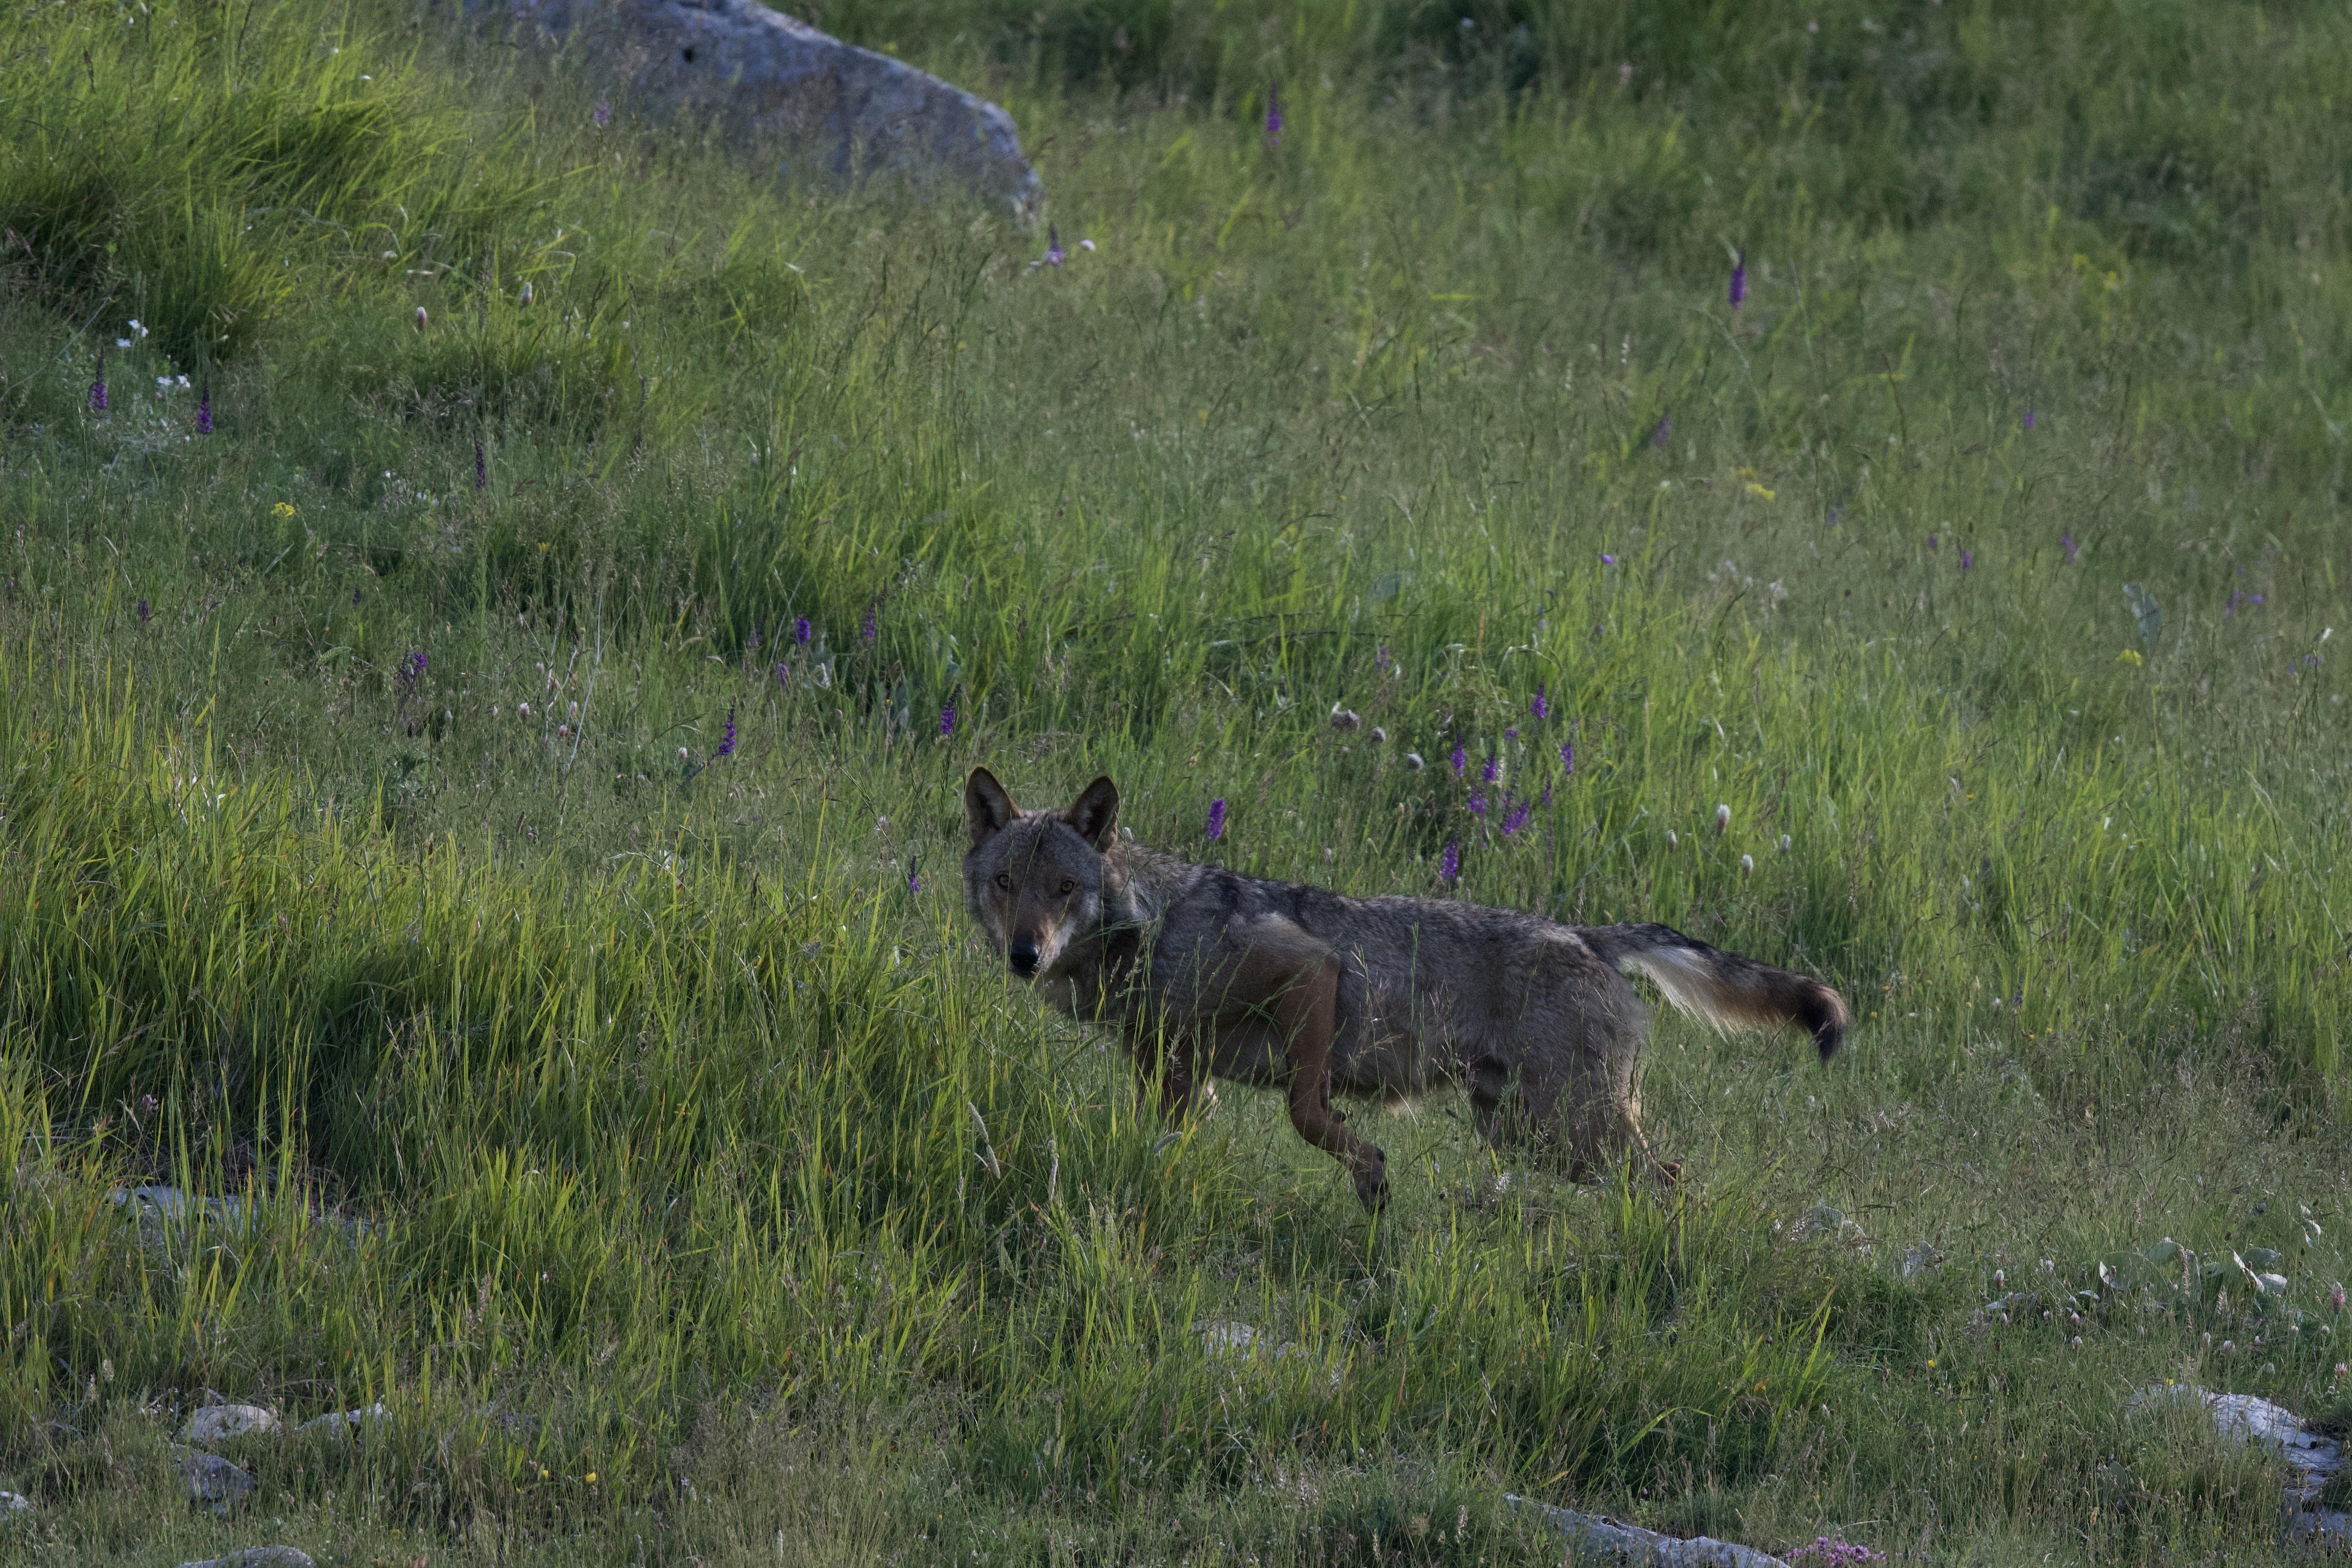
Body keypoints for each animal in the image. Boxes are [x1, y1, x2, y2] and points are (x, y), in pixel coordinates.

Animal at [964, 766, 1844, 1213]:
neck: (1154, 925)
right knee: (1665, 1177)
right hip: (1527, 1134)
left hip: (1569, 1131)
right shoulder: (1177, 1077)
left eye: (1064, 888)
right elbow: (1172, 1146)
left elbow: (1308, 1113)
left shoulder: (1314, 969)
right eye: (1007, 883)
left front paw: (1373, 1174)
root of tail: (1589, 934)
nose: (1025, 955)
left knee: (1672, 1181)